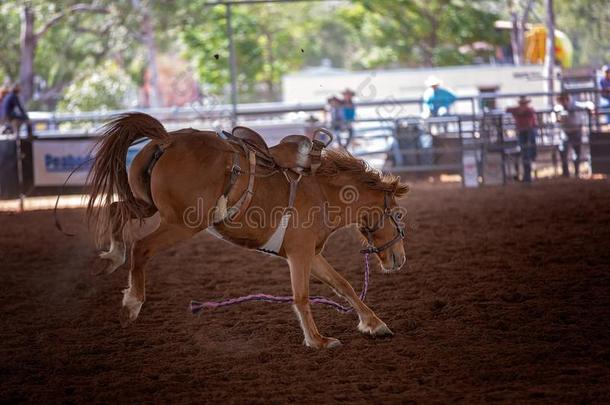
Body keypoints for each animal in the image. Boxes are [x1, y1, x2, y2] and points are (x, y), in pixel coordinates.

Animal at [86, 113, 408, 348]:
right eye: (397, 214)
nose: (400, 259)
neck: (323, 192)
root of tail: (166, 140)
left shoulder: (311, 254)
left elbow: (344, 285)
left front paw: (374, 324)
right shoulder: (300, 254)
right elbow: (302, 296)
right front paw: (317, 340)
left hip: (147, 205)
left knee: (115, 209)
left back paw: (112, 256)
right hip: (181, 222)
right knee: (140, 248)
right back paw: (131, 303)